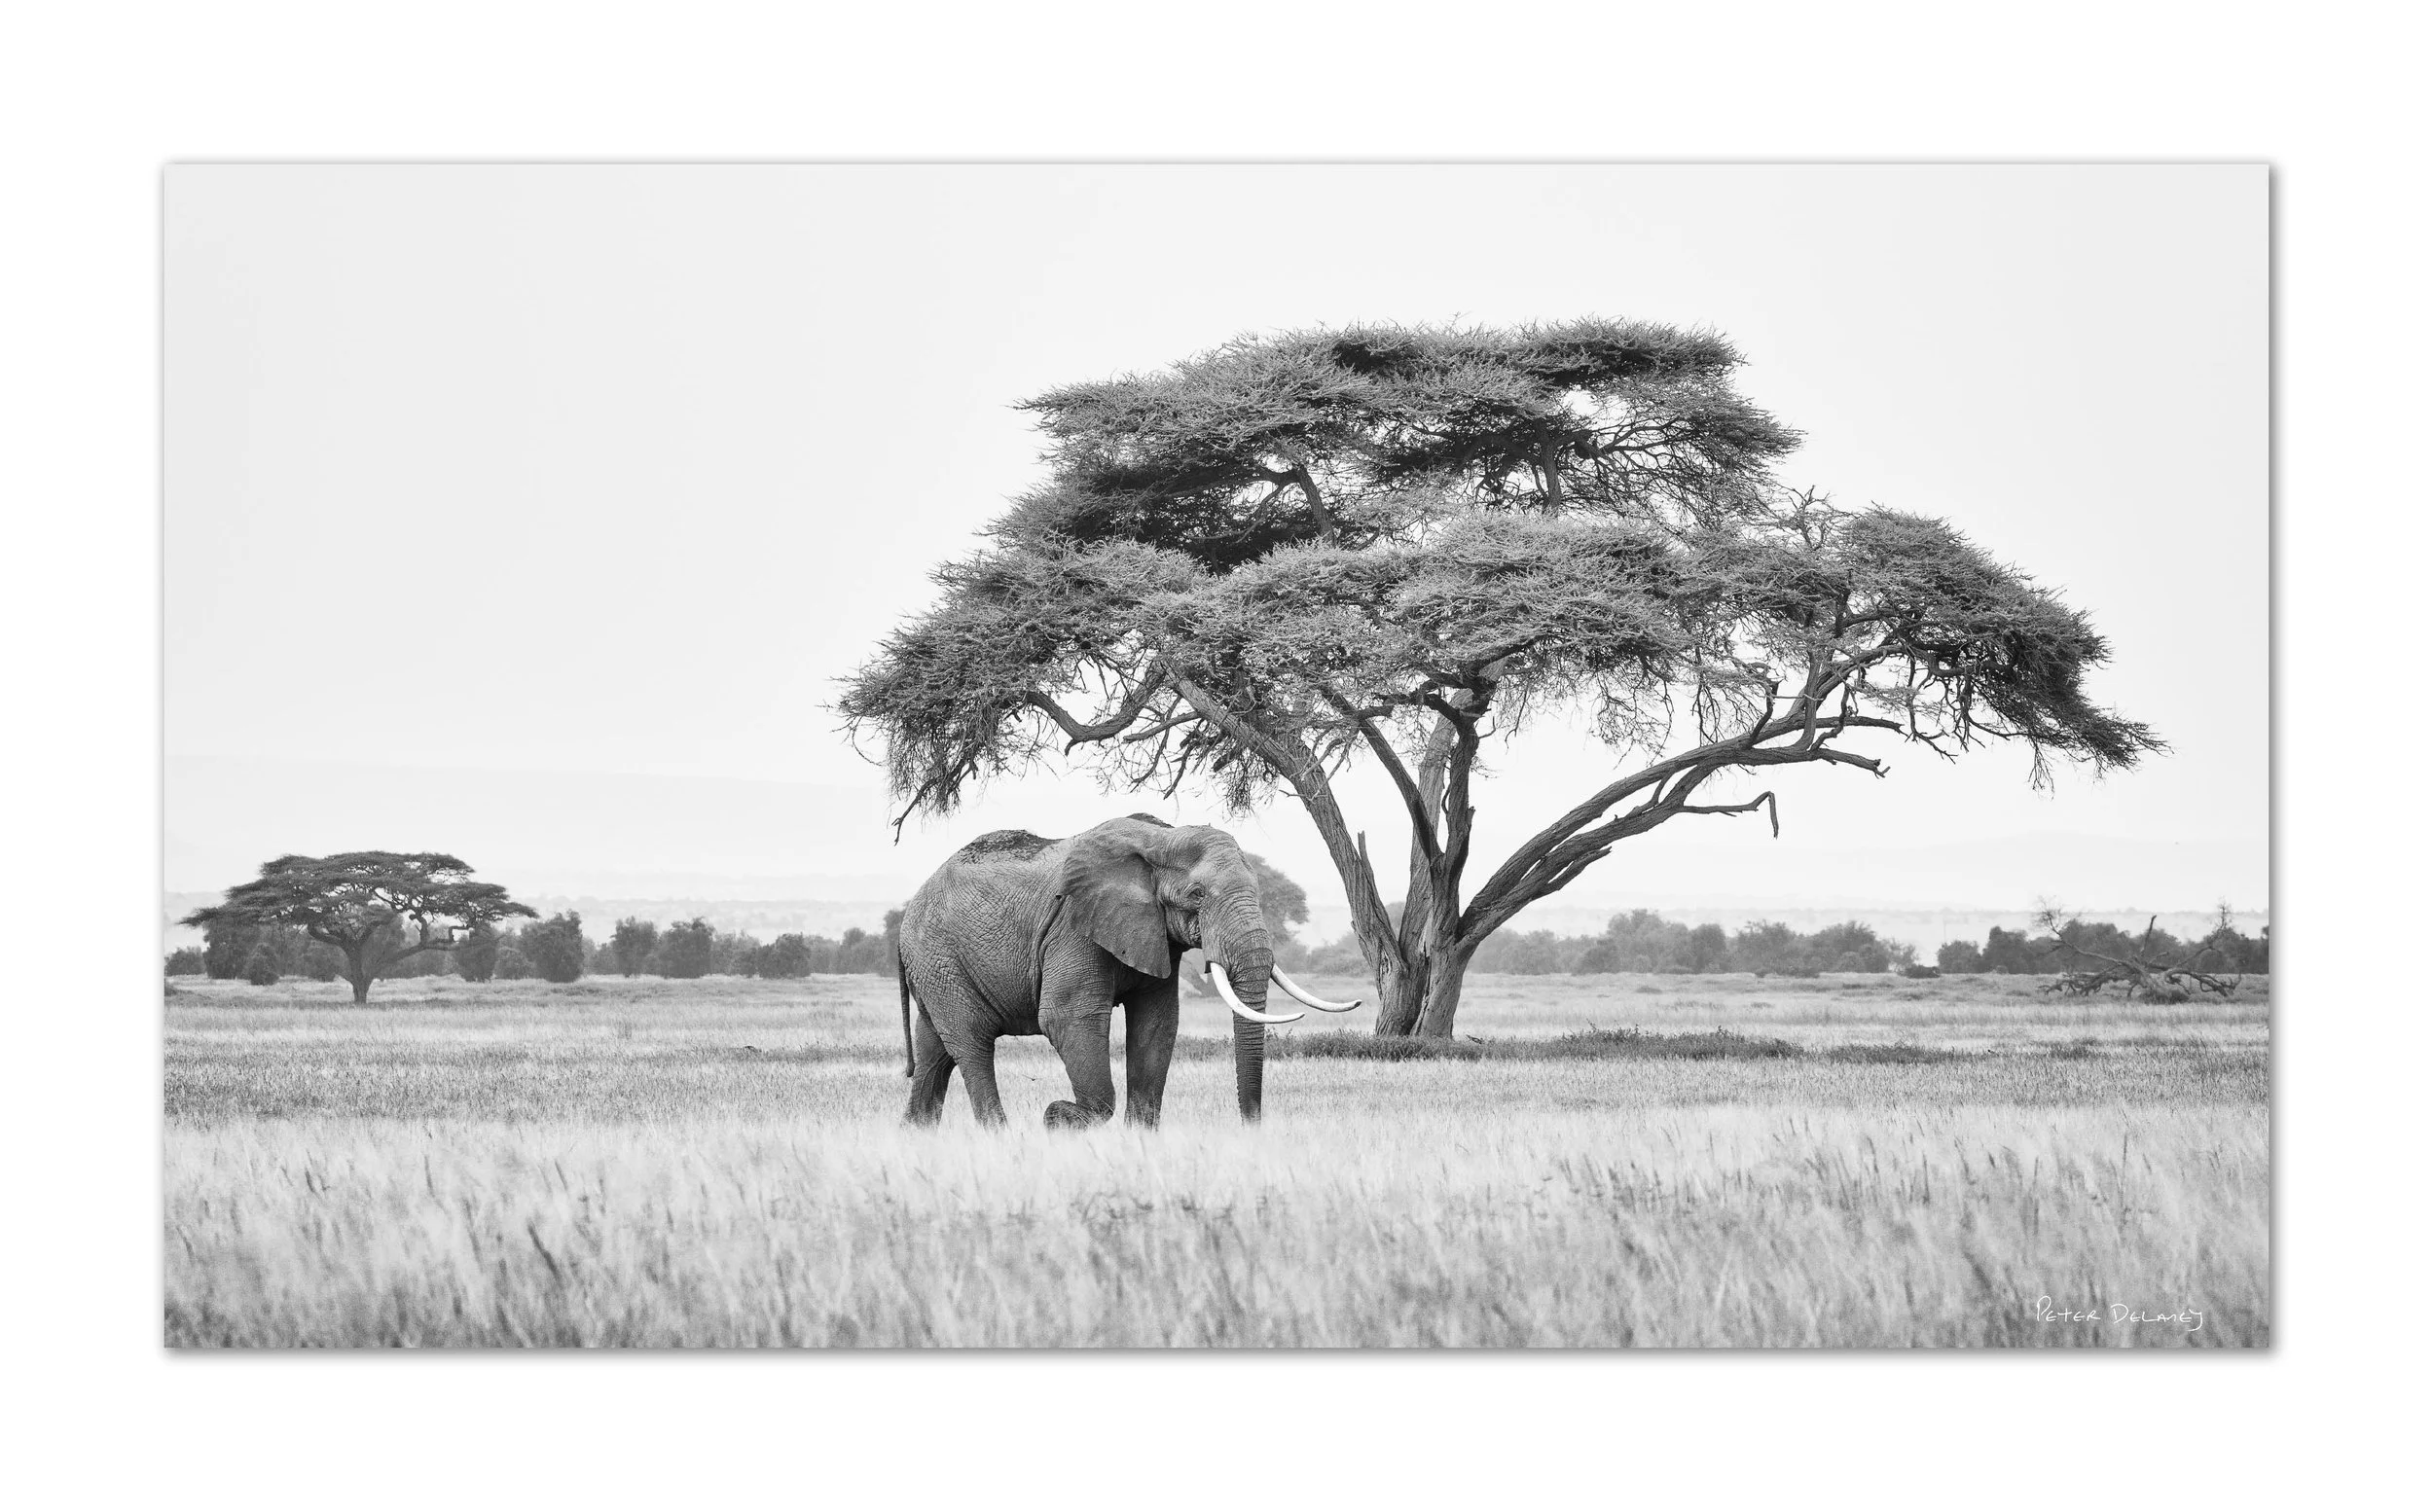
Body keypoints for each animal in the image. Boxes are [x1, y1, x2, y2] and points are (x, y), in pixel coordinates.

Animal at [895, 814, 1359, 1129]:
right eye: (1196, 895)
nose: (1251, 1128)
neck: (1162, 839)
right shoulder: (1074, 926)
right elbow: (1068, 1017)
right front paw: (1059, 1116)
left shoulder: (1157, 935)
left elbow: (1156, 1023)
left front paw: (1137, 1137)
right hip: (939, 956)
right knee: (971, 1044)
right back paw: (1000, 1135)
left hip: (936, 967)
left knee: (936, 1051)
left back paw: (916, 1135)